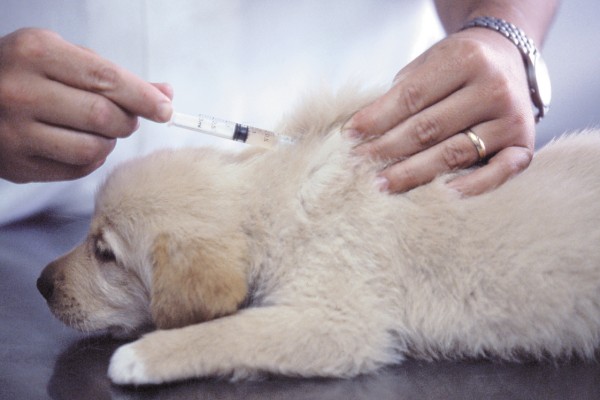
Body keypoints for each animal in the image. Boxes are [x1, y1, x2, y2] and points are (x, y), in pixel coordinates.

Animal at [36, 89, 600, 386]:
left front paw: (144, 356)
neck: (270, 208)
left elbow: (227, 332)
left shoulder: (338, 323)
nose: (41, 284)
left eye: (105, 253)